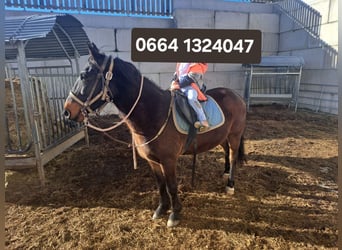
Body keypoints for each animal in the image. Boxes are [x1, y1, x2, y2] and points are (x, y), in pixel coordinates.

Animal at [63, 42, 246, 227]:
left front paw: (175, 214)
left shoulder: (168, 160)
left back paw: (230, 184)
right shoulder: (152, 161)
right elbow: (160, 185)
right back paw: (225, 172)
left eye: (84, 76)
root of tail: (236, 95)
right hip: (222, 136)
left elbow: (171, 186)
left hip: (235, 135)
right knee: (226, 150)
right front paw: (162, 209)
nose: (67, 112)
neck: (155, 113)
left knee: (232, 156)